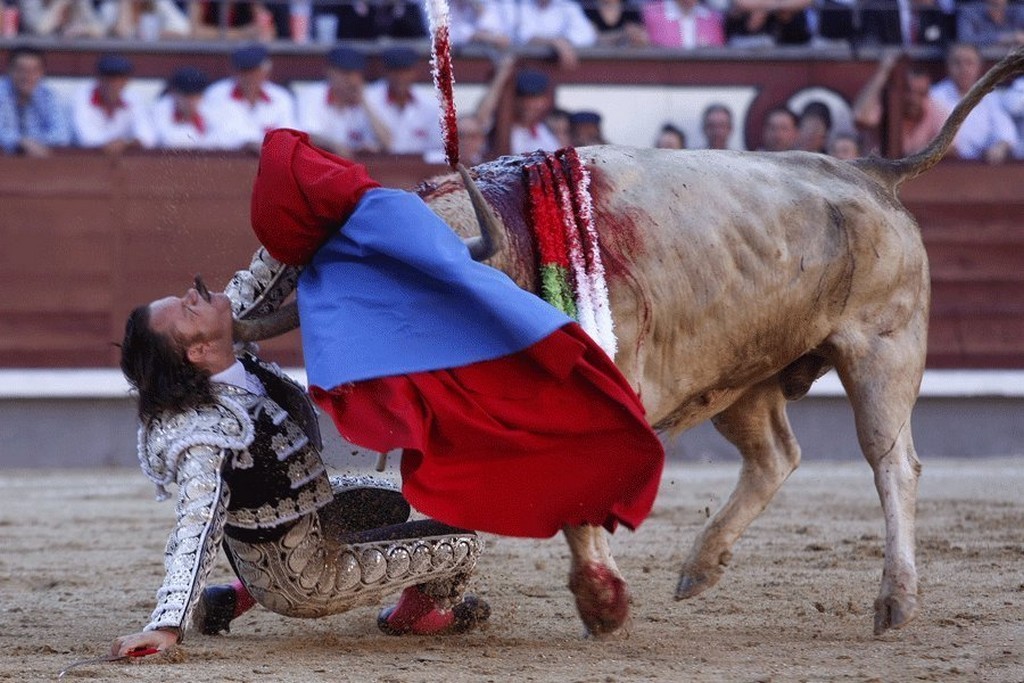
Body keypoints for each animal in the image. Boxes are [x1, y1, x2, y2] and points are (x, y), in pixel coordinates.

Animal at [235, 46, 1024, 634]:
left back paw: (894, 601)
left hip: (883, 351)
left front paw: (601, 602)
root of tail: (871, 170)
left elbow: (577, 498)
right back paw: (700, 567)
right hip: (739, 373)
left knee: (893, 463)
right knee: (776, 455)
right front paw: (425, 604)